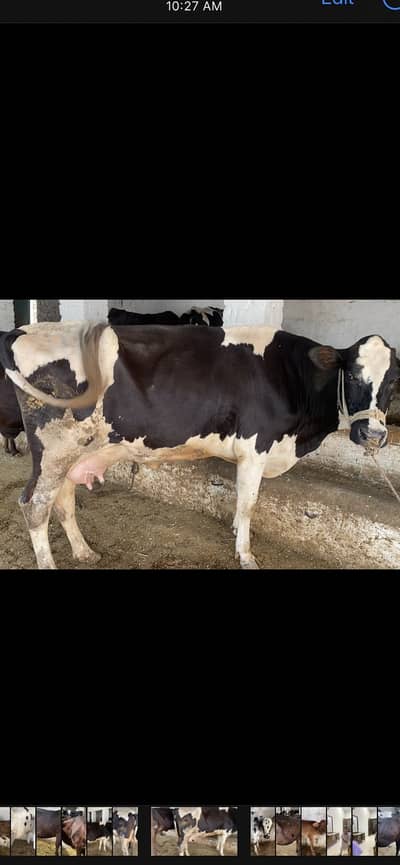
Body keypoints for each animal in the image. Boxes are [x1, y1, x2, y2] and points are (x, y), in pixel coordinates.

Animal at [1, 322, 399, 571]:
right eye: (353, 375)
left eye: (394, 381)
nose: (373, 435)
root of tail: (25, 330)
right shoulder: (256, 446)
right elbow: (249, 503)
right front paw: (246, 554)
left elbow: (240, 504)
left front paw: (237, 534)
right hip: (54, 447)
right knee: (34, 506)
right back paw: (50, 562)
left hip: (73, 451)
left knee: (63, 500)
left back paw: (84, 552)